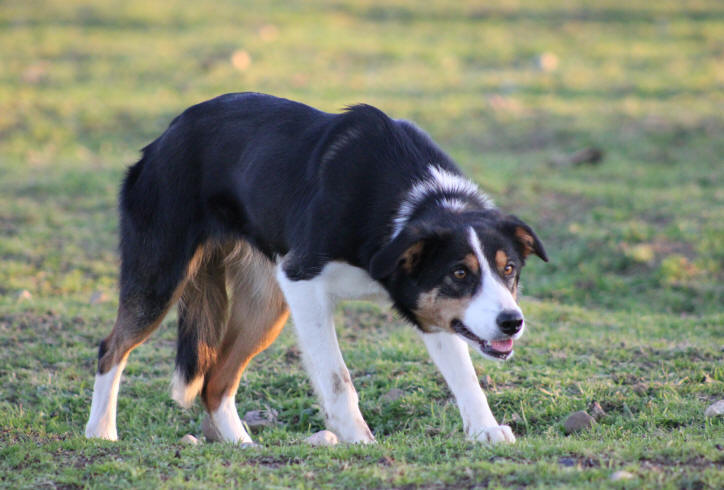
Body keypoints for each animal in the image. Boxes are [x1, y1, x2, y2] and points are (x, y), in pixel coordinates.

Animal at [85, 93, 544, 448]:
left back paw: (241, 444)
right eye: (460, 274)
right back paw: (100, 432)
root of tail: (165, 137)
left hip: (266, 306)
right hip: (160, 276)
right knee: (113, 348)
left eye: (509, 270)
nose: (512, 322)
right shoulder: (303, 283)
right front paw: (358, 439)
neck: (411, 204)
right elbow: (338, 378)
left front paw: (485, 431)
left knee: (216, 379)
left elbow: (465, 377)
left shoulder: (430, 311)